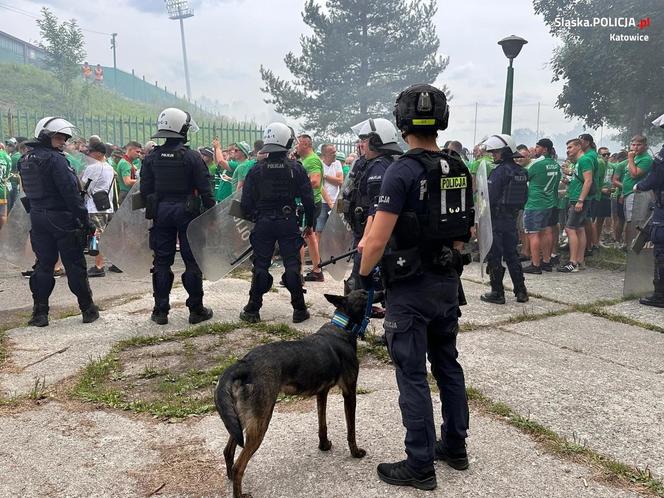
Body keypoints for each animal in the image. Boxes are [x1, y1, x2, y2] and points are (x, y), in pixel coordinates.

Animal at [213, 290, 378, 498]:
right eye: (364, 294)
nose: (382, 290)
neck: (343, 327)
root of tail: (244, 364)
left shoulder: (322, 393)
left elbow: (322, 424)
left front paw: (324, 446)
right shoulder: (349, 393)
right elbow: (351, 430)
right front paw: (355, 453)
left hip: (241, 418)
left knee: (228, 451)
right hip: (260, 422)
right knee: (238, 466)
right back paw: (239, 491)